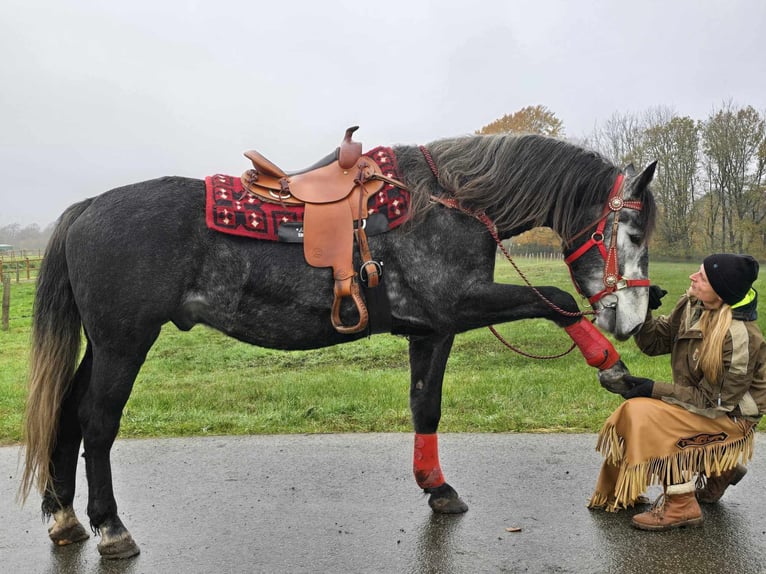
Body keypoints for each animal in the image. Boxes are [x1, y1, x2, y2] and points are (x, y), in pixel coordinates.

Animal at [18, 130, 656, 560]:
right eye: (632, 232)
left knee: (67, 414)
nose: (633, 318)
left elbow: (426, 406)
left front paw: (437, 487)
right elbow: (557, 299)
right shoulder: (458, 305)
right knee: (97, 423)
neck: (445, 202)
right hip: (124, 344)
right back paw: (110, 527)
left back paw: (64, 517)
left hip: (103, 346)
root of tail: (87, 209)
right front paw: (614, 370)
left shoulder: (432, 328)